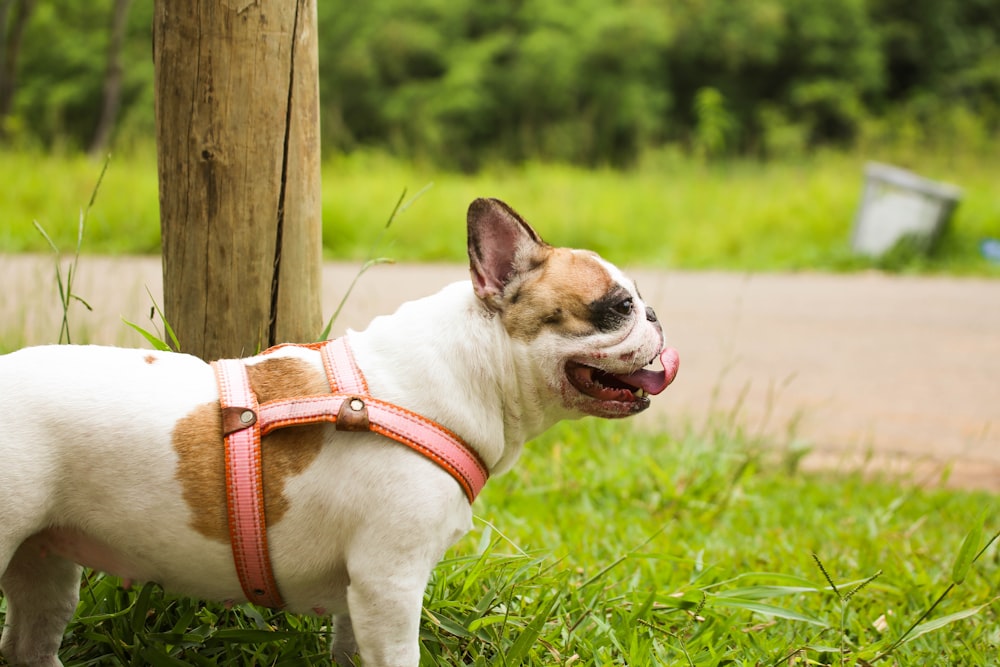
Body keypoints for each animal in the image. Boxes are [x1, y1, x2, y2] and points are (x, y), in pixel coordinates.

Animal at [0, 198, 680, 667]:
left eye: (639, 304)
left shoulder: (364, 594)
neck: (473, 367)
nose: (655, 316)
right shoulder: (390, 582)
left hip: (45, 564)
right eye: (618, 307)